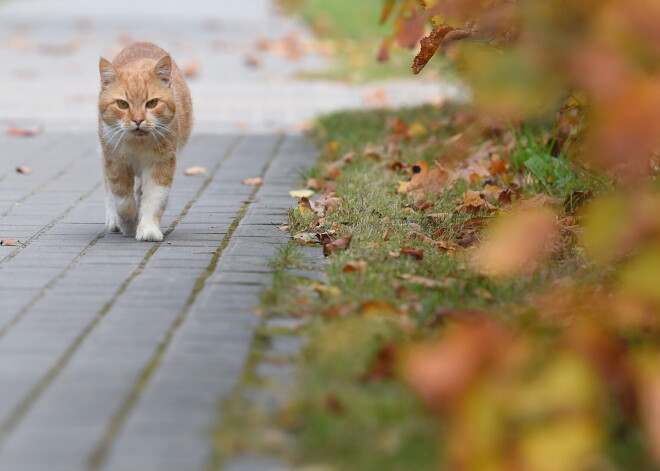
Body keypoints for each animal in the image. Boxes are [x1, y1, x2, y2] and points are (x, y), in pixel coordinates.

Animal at [98, 42, 192, 242]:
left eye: (152, 103)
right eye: (122, 104)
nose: (138, 120)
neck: (137, 144)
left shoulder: (162, 164)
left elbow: (153, 198)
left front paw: (147, 228)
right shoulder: (115, 163)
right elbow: (122, 201)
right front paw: (129, 224)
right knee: (109, 191)